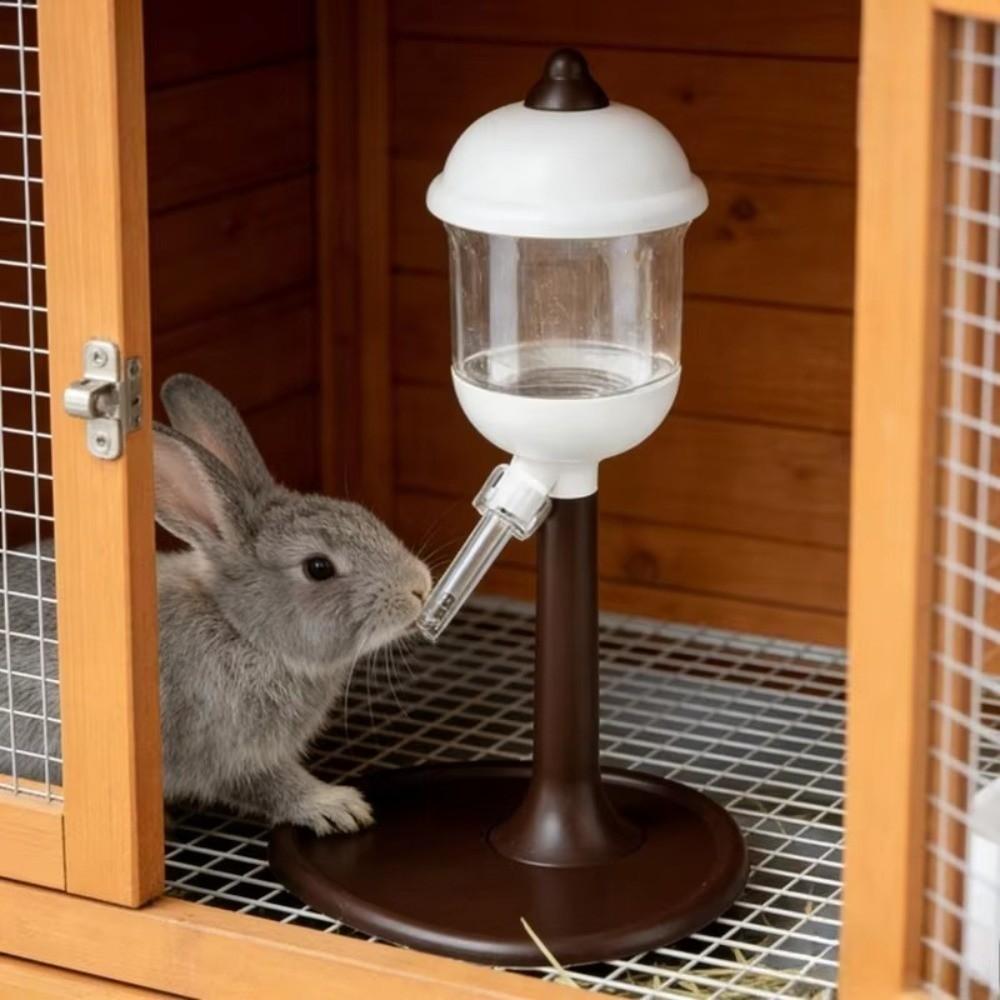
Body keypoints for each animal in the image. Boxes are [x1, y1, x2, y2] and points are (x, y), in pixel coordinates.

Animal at [0, 374, 432, 835]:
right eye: (318, 567)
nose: (419, 587)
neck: (240, 629)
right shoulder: (228, 751)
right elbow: (270, 785)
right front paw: (337, 806)